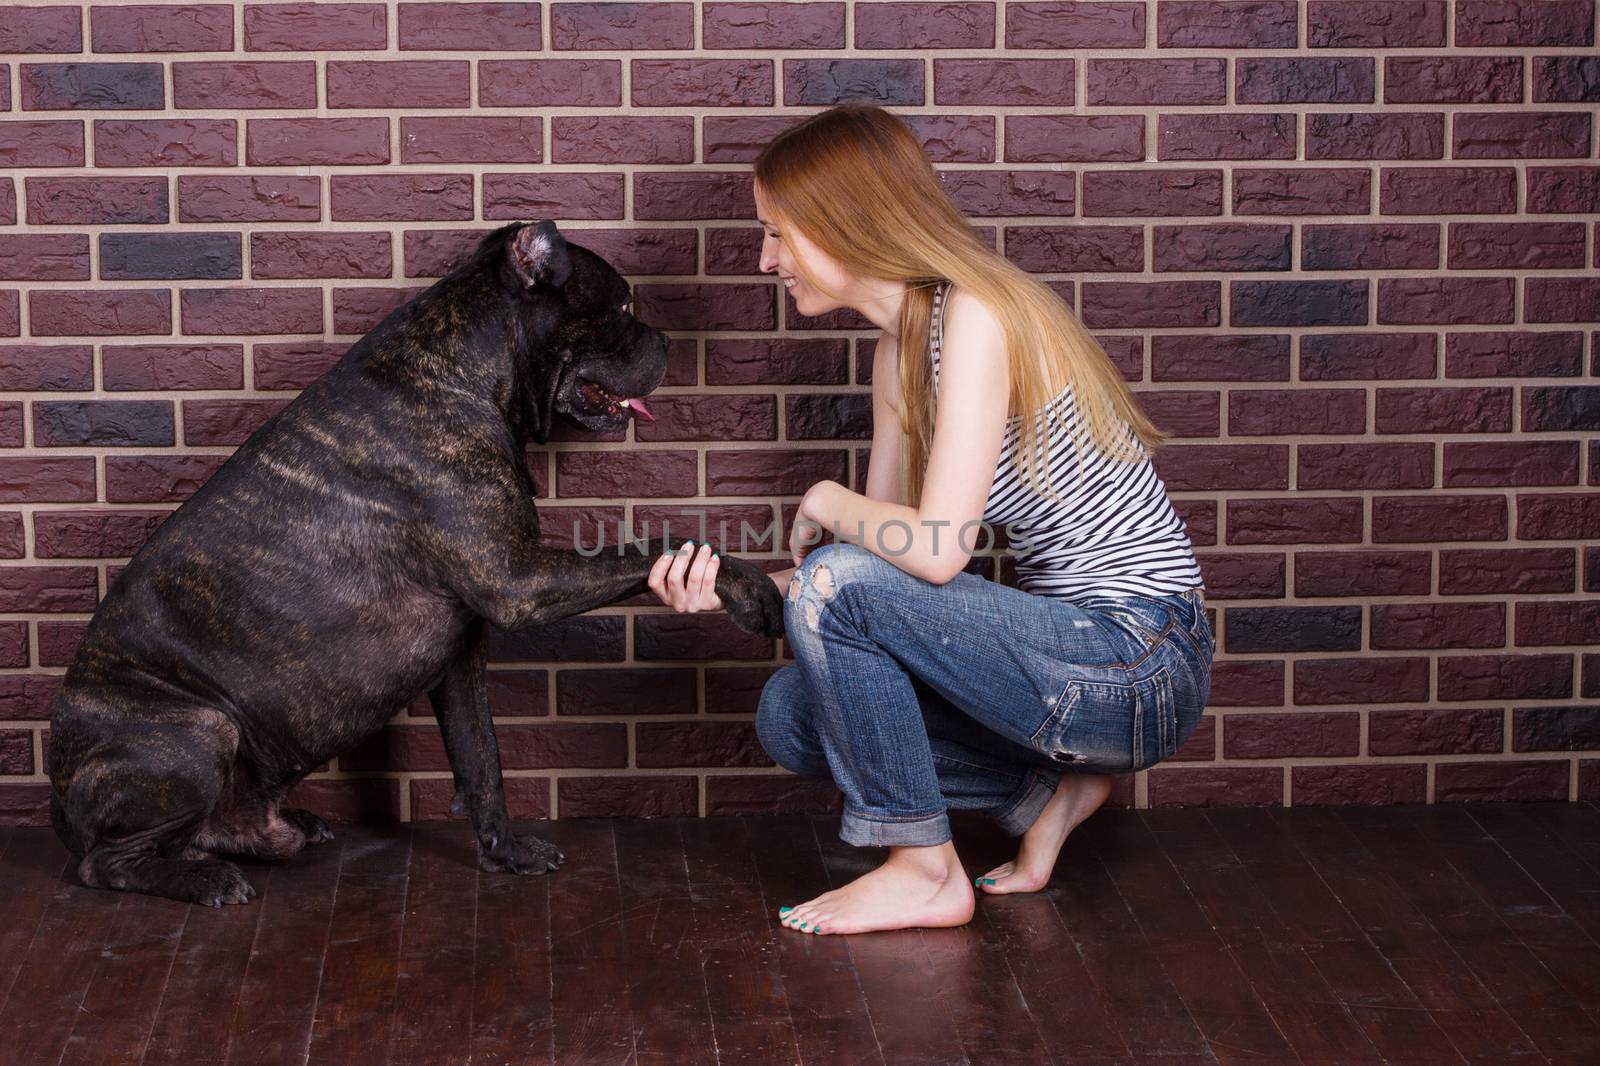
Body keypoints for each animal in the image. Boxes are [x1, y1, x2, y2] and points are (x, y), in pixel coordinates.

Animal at [53, 219, 790, 902]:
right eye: (624, 308)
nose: (665, 343)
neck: (463, 373)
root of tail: (60, 804)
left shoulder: (461, 653)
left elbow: (481, 758)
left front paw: (504, 851)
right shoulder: (518, 580)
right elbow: (651, 546)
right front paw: (750, 588)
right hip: (200, 728)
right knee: (105, 863)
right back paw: (200, 880)